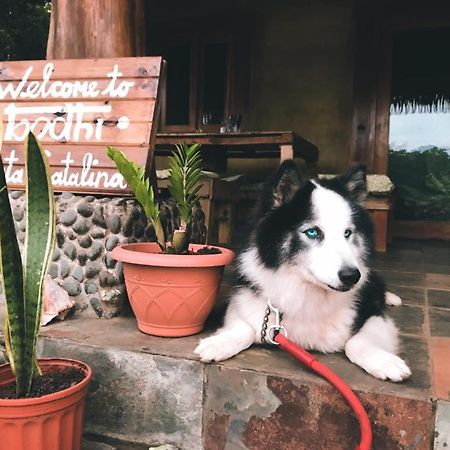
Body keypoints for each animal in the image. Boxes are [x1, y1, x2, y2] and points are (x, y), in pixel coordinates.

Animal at [194, 160, 412, 382]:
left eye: (347, 233)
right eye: (312, 232)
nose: (352, 277)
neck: (305, 290)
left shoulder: (372, 313)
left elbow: (355, 342)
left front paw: (384, 362)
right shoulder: (244, 304)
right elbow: (245, 327)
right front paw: (218, 344)